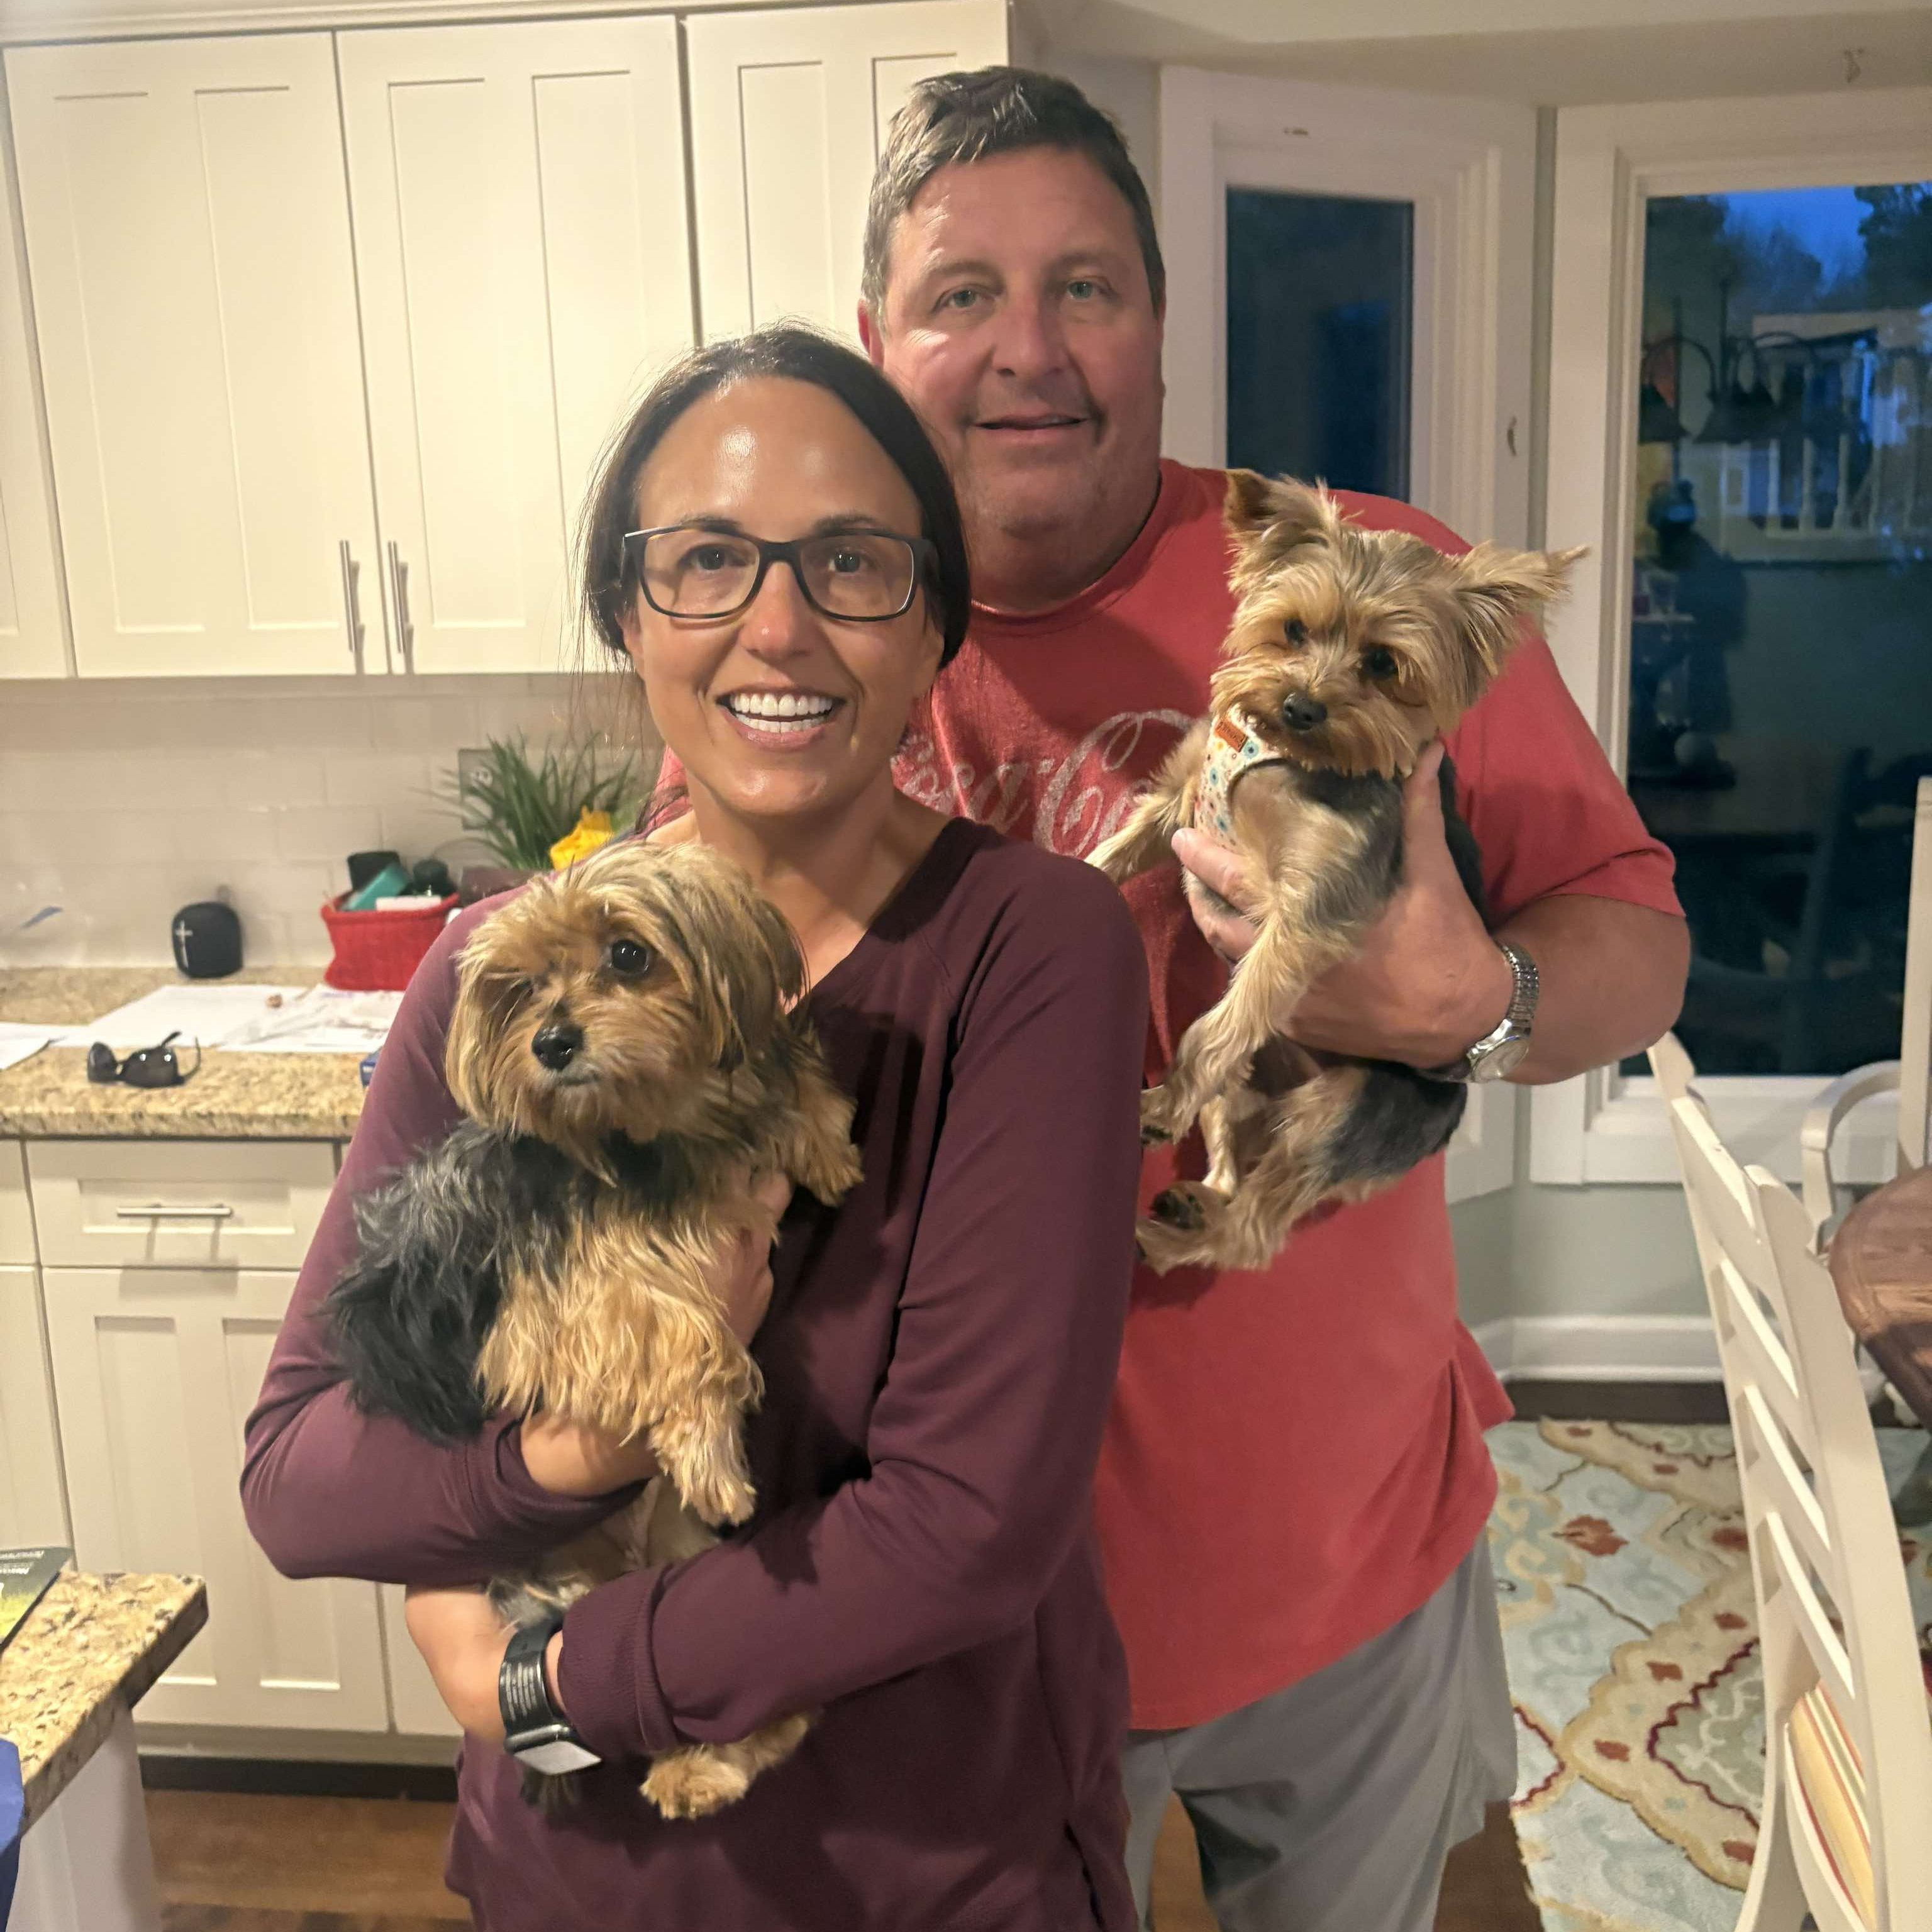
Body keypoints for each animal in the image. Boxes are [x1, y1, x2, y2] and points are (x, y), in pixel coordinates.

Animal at [326, 836, 863, 1818]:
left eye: (628, 954)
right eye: (520, 988)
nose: (551, 1042)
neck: (647, 1127)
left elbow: (790, 1091)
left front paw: (820, 1141)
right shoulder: (550, 1318)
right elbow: (683, 1329)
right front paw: (711, 1451)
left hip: (673, 1554)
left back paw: (710, 1761)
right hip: (558, 1571)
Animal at [1089, 471, 1582, 1273]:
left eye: (1382, 663)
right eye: (1292, 630)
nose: (1300, 705)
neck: (1286, 758)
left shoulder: (1311, 908)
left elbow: (1223, 1022)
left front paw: (1162, 1104)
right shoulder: (1180, 802)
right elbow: (1112, 856)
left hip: (1343, 1110)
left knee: (1256, 1229)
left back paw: (1163, 1234)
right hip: (1253, 1094)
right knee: (1231, 1146)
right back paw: (1194, 1203)